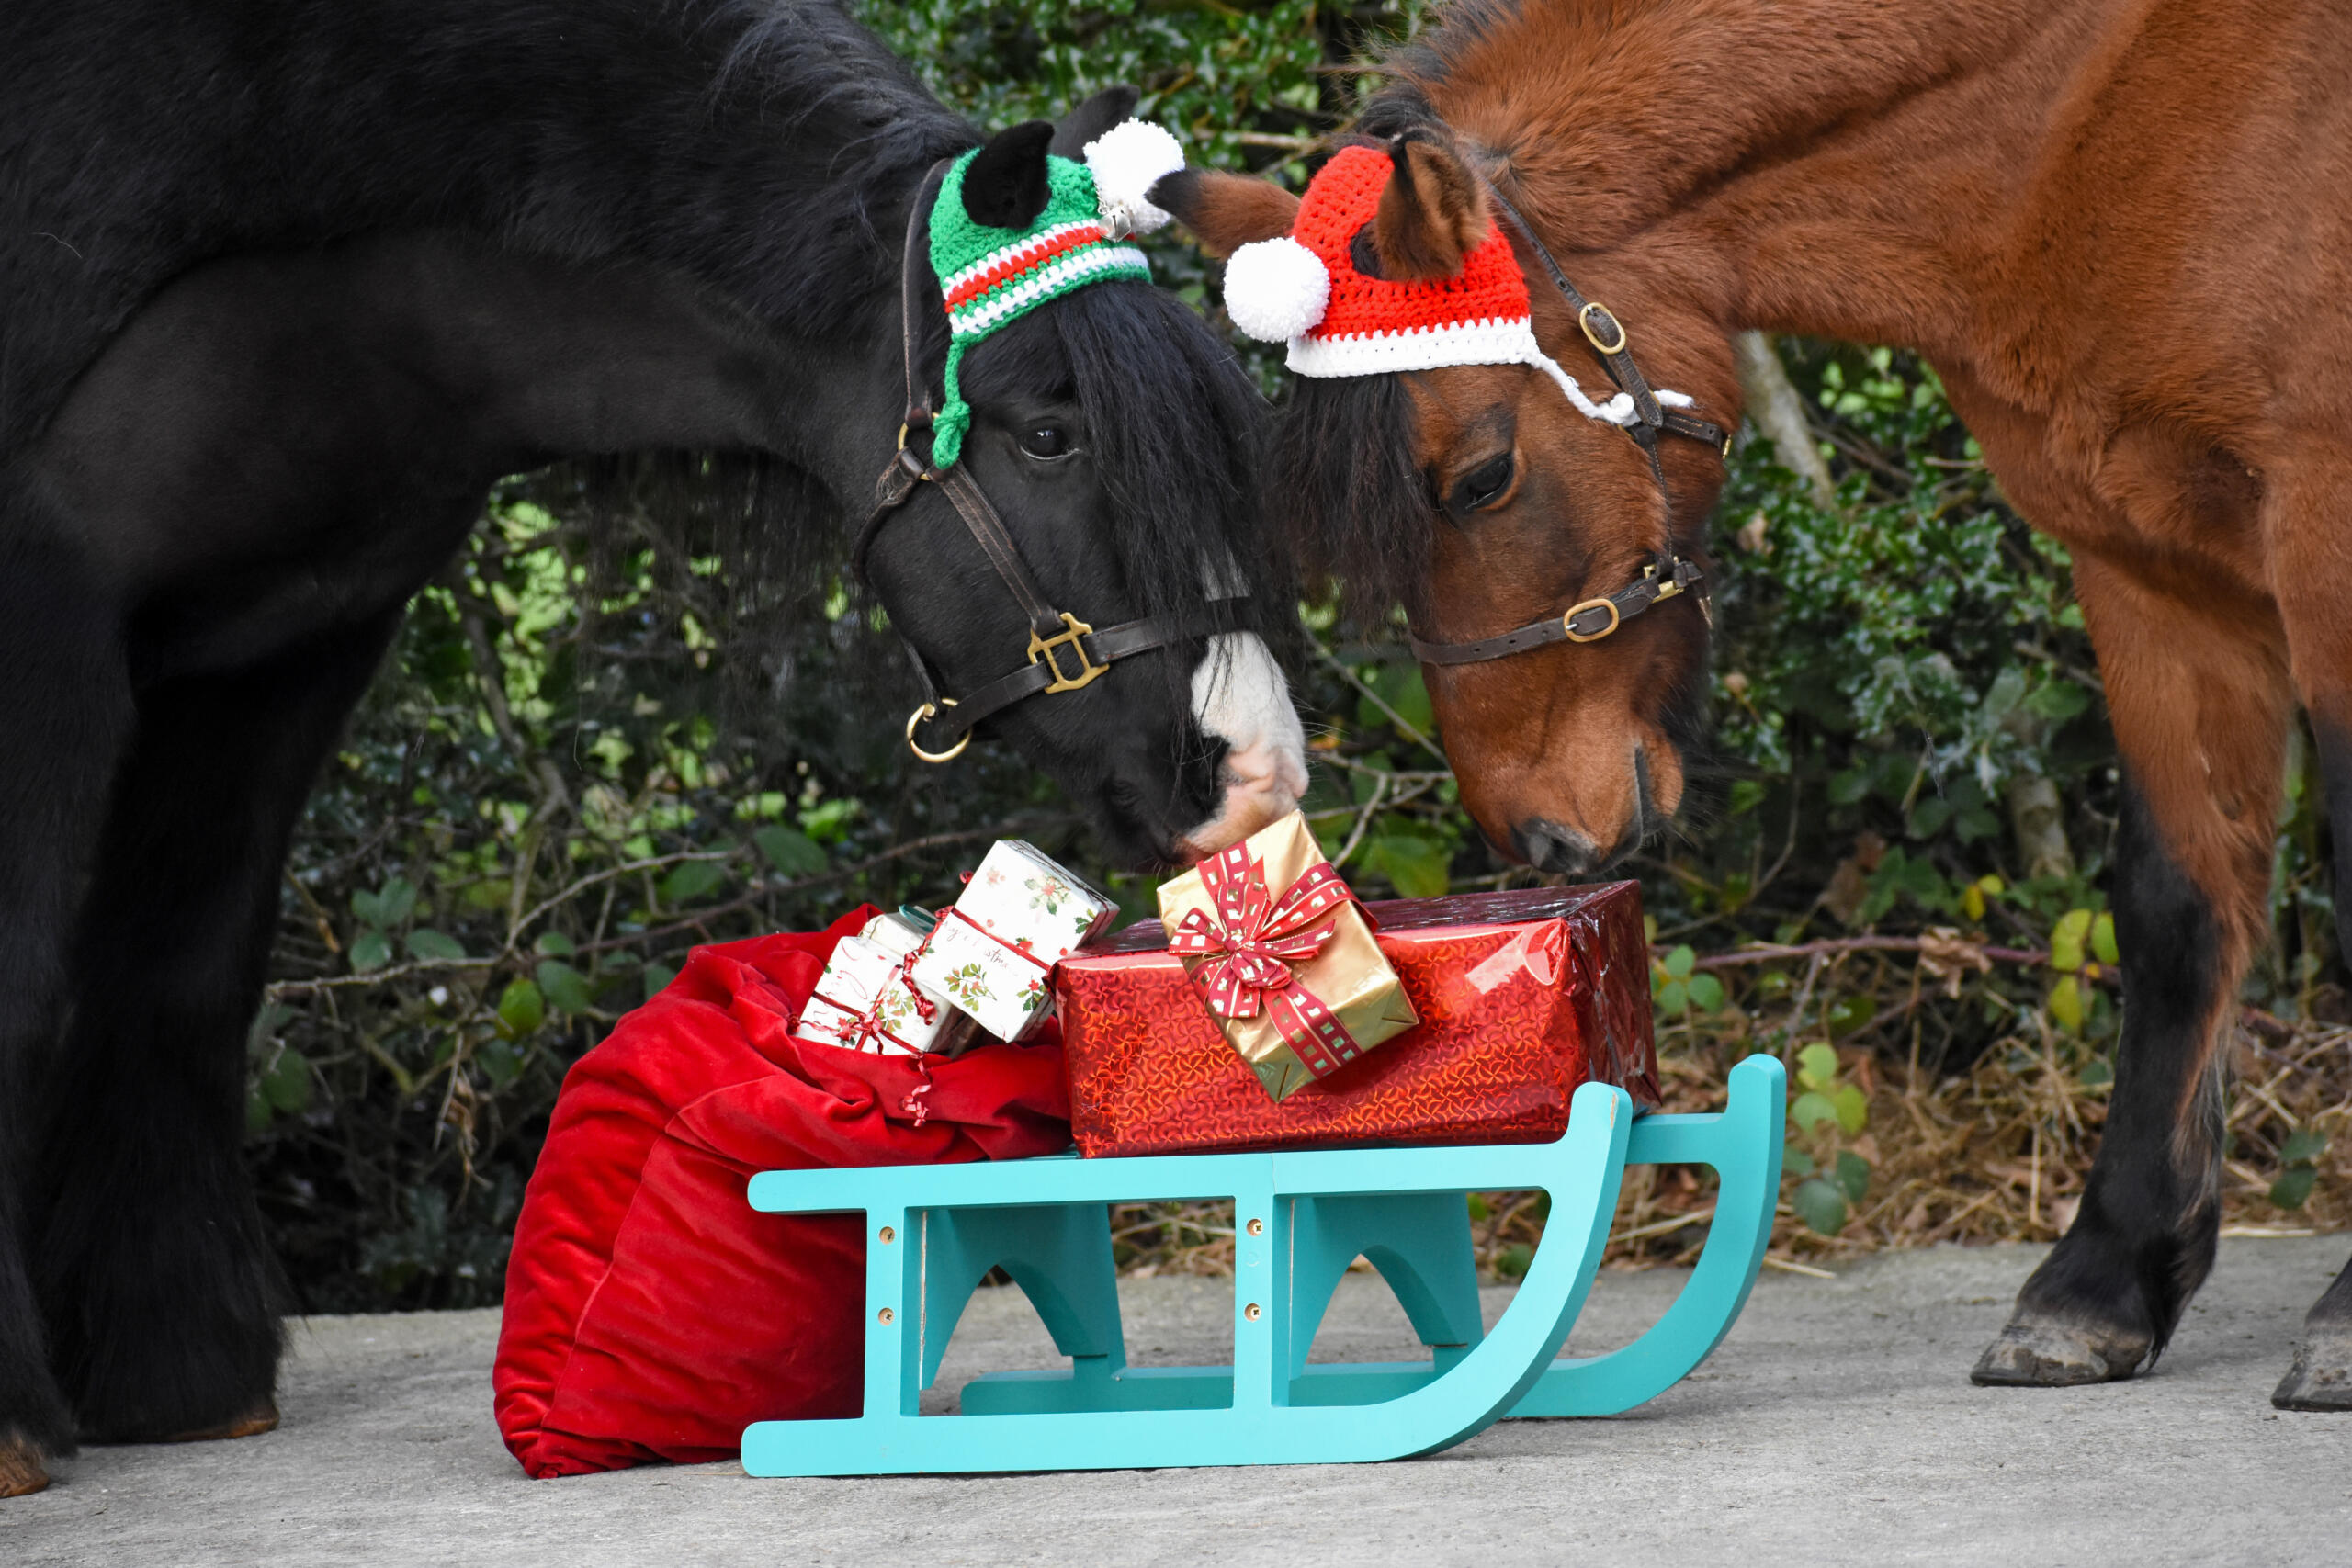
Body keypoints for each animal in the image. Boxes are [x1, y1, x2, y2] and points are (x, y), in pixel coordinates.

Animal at [0, 0, 1308, 1495]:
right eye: (1048, 434)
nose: (1255, 768)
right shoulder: (48, 614)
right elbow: (29, 979)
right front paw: (23, 1417)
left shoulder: (281, 650)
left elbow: (178, 980)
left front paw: (177, 1371)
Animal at [1153, 0, 2352, 1408]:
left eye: (1482, 477)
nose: (1540, 838)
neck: (2089, 121)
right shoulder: (2147, 566)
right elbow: (2178, 904)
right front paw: (2101, 1281)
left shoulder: (2321, 534)